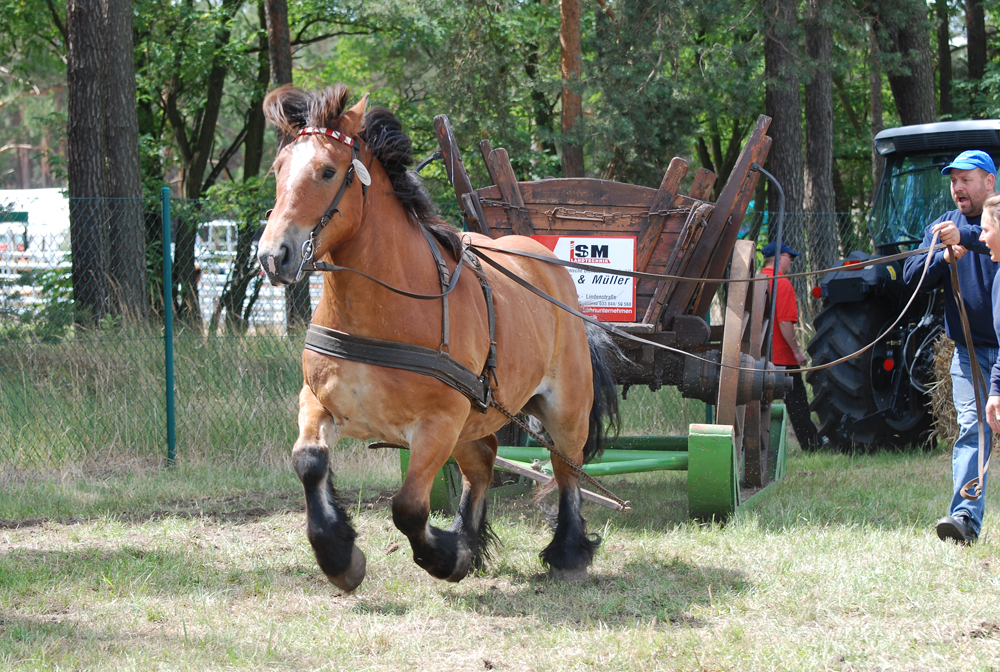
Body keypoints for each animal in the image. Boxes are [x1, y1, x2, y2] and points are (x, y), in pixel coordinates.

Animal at [254, 82, 620, 588]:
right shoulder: (317, 401)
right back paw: (471, 537)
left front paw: (446, 556)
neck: (382, 307)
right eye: (278, 169)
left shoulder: (438, 425)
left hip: (565, 408)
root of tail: (549, 265)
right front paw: (339, 555)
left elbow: (408, 507)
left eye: (327, 171)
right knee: (484, 462)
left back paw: (566, 552)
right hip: (474, 422)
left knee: (567, 468)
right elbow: (309, 463)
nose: (274, 255)